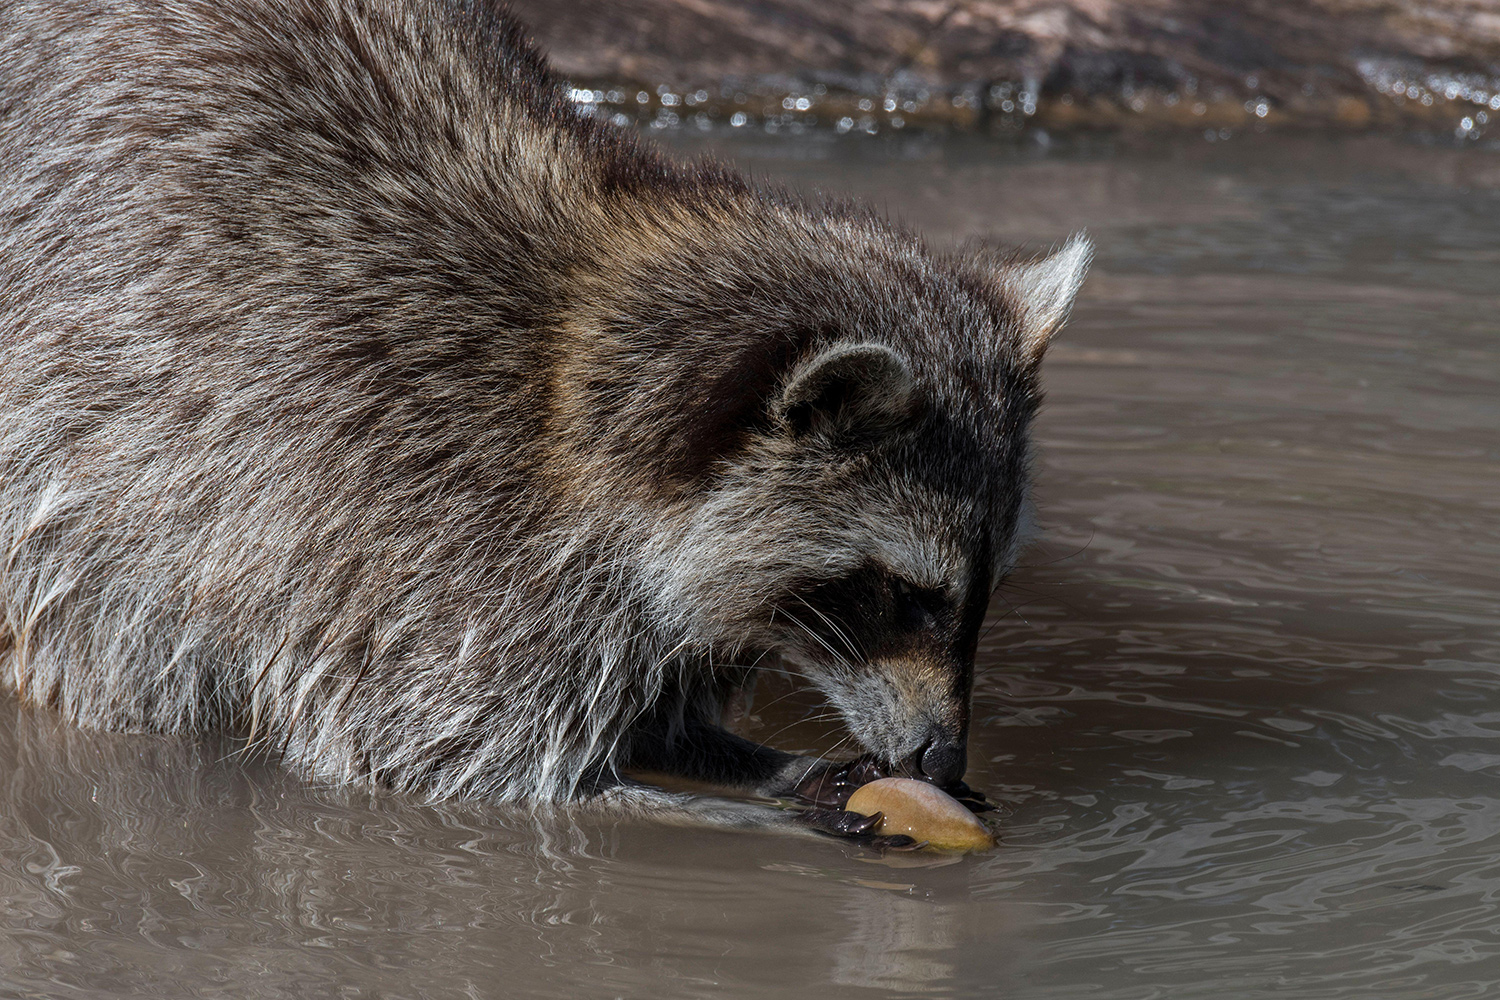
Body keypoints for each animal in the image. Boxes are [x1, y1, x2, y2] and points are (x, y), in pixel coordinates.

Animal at [0, 0, 1088, 834]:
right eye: (906, 596)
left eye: (985, 592)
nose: (941, 760)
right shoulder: (418, 513)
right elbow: (447, 760)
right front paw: (750, 814)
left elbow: (655, 717)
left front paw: (771, 768)